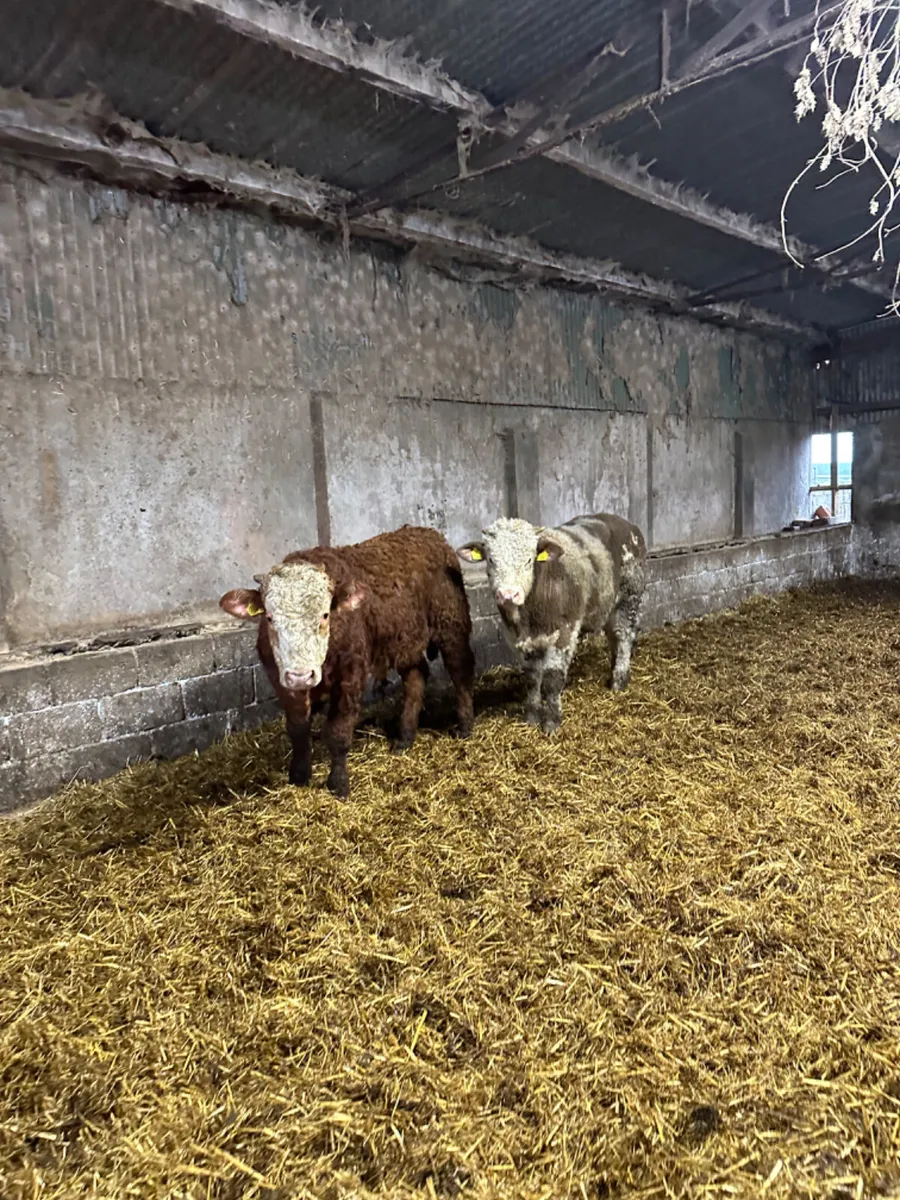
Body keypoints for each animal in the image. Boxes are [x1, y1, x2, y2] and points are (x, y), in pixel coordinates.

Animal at [220, 526, 475, 798]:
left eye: (325, 615)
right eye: (269, 617)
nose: (302, 675)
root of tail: (426, 532)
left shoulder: (351, 674)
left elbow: (338, 732)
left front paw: (338, 784)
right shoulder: (282, 681)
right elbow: (297, 729)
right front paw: (298, 777)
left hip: (450, 622)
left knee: (460, 669)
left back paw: (464, 725)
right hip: (404, 639)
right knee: (416, 676)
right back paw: (405, 738)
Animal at [457, 513, 646, 733]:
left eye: (529, 559)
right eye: (491, 559)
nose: (508, 594)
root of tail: (627, 524)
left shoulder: (564, 633)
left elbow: (552, 680)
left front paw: (551, 722)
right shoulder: (518, 639)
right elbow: (531, 679)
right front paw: (531, 717)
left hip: (629, 597)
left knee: (624, 636)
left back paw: (619, 679)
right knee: (614, 636)